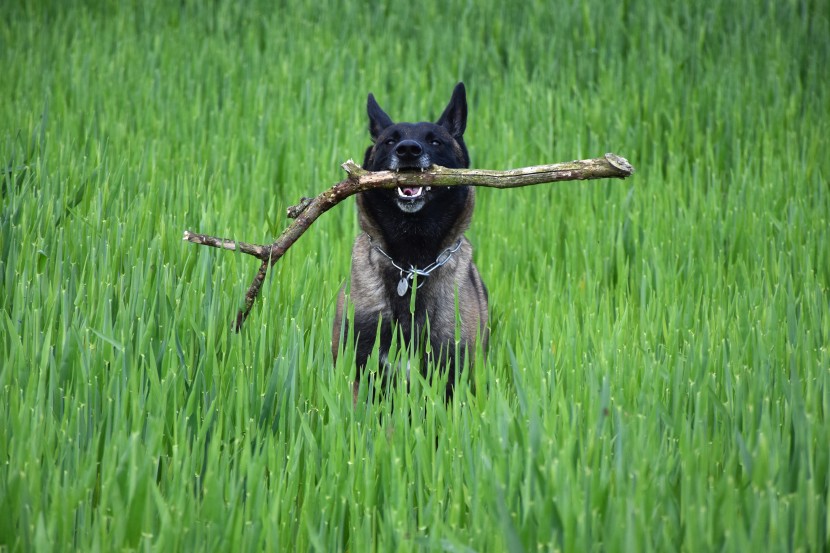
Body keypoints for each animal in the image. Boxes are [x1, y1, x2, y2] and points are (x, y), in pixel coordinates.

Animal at [332, 83, 488, 402]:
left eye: (436, 141)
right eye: (390, 141)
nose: (408, 150)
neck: (411, 262)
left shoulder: (453, 378)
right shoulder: (358, 375)